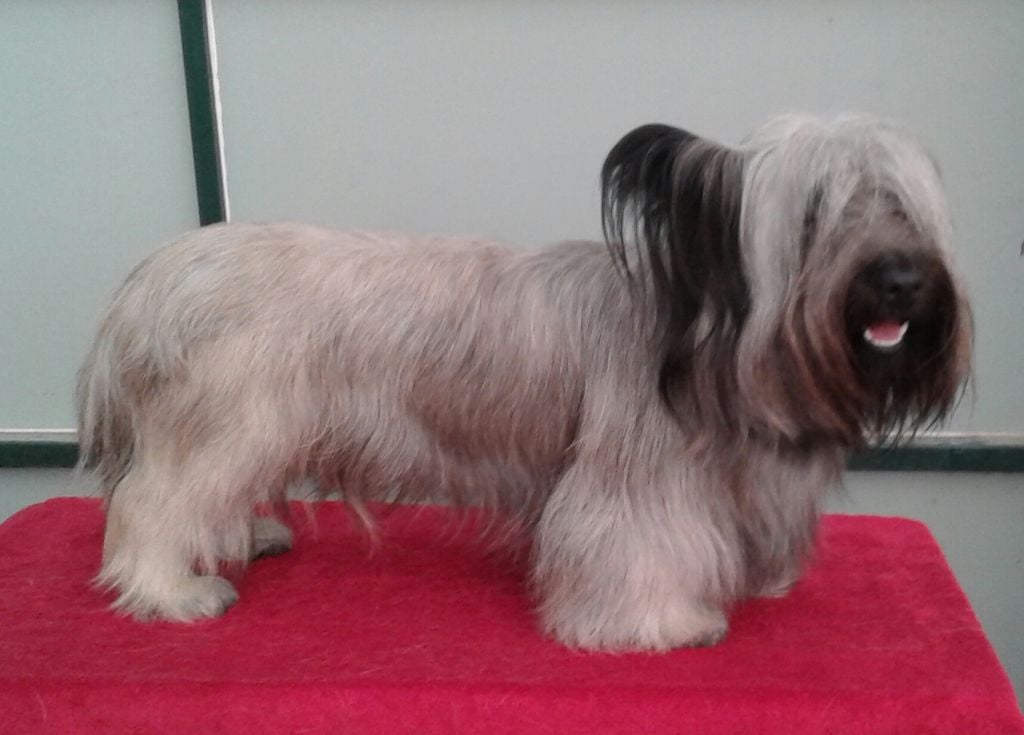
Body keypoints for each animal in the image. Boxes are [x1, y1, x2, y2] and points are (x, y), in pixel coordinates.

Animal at [77, 114, 971, 651]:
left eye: (905, 207)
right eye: (818, 213)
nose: (900, 280)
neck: (704, 332)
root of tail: (150, 275)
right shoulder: (630, 483)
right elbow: (631, 549)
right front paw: (663, 623)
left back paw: (239, 537)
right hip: (230, 421)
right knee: (152, 501)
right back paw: (172, 589)